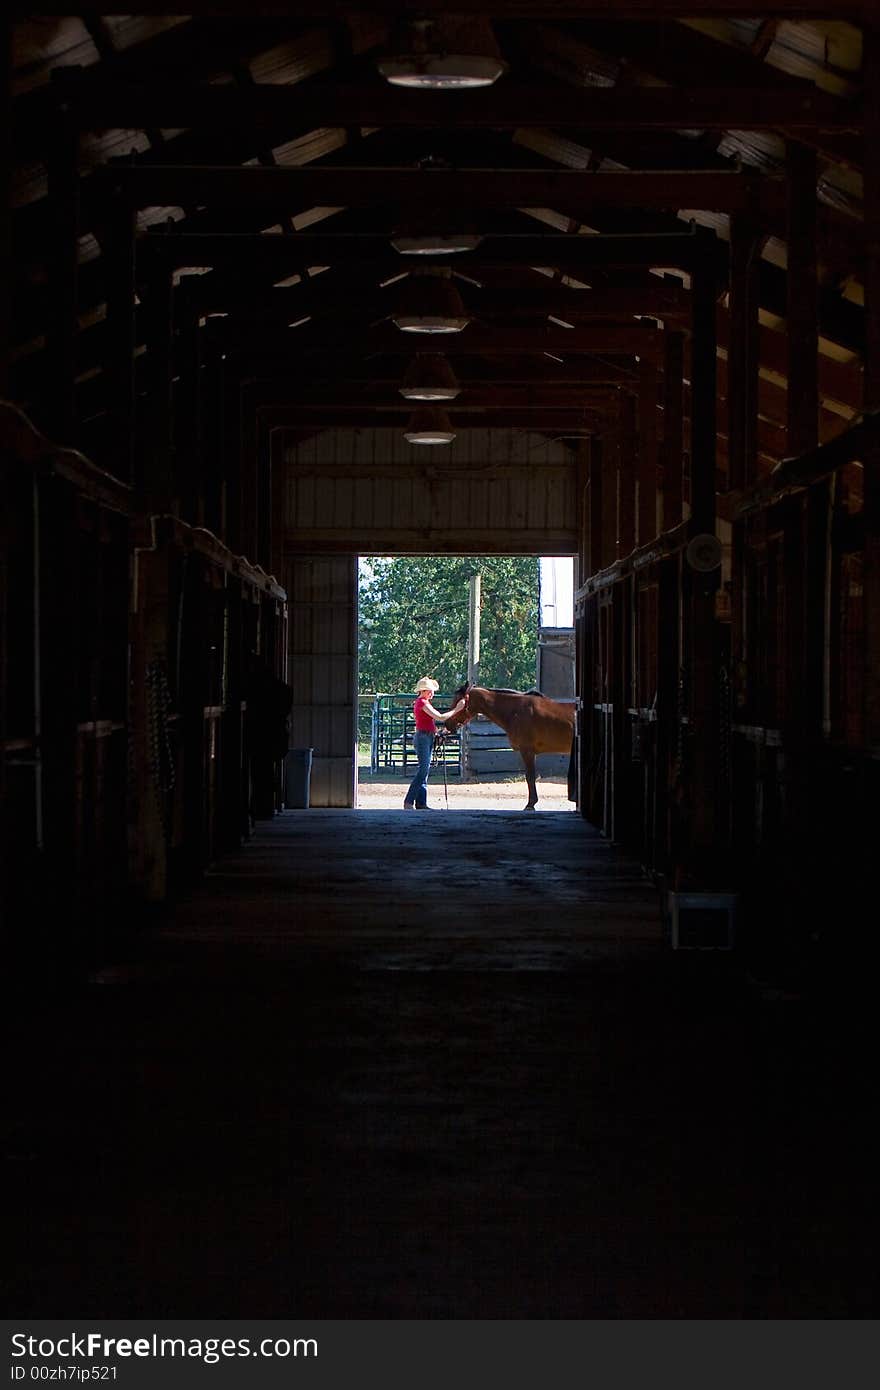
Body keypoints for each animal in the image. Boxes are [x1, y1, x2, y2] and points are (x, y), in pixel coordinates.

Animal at [444, 686, 575, 811]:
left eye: (458, 701)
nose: (447, 723)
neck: (516, 711)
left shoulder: (527, 751)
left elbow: (530, 777)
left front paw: (530, 804)